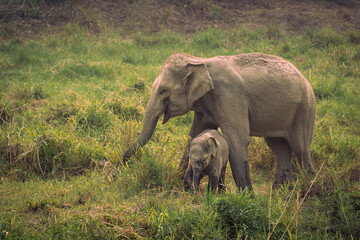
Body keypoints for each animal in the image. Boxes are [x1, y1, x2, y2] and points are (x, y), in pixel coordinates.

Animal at [123, 53, 316, 189]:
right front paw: (179, 183)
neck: (199, 61)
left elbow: (237, 140)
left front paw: (247, 198)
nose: (125, 164)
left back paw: (309, 190)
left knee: (301, 149)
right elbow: (194, 135)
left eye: (163, 90)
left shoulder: (229, 97)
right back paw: (280, 192)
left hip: (305, 110)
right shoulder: (205, 105)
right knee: (279, 147)